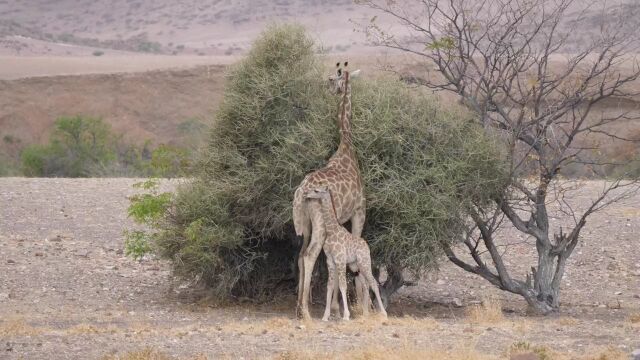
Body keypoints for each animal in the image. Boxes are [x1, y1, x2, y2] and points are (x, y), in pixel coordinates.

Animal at [304, 186, 388, 320]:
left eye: (316, 190)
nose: (306, 194)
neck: (331, 231)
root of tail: (367, 246)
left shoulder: (340, 260)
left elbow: (343, 285)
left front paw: (346, 316)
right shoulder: (330, 261)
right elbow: (329, 286)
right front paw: (325, 316)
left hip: (365, 262)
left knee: (373, 283)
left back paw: (383, 313)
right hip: (355, 265)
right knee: (365, 284)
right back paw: (365, 313)